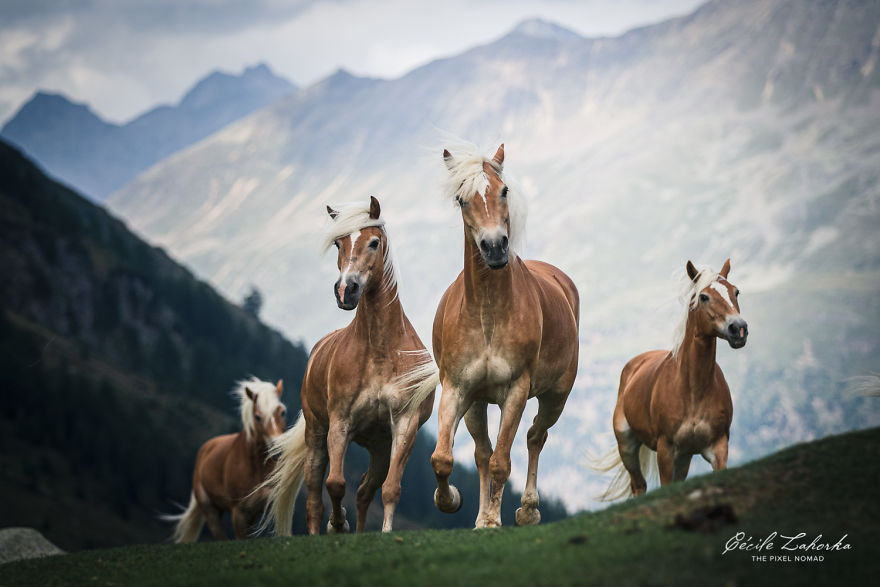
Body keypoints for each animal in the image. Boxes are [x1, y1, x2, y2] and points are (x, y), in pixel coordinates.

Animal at [162, 378, 287, 541]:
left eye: (282, 412)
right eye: (257, 417)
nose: (277, 445)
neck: (256, 468)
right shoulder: (239, 513)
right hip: (211, 511)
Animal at [262, 196, 438, 535]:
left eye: (374, 242)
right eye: (338, 243)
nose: (346, 290)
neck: (381, 352)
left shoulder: (404, 426)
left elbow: (390, 490)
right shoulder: (340, 424)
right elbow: (335, 483)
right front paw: (337, 522)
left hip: (380, 448)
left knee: (365, 492)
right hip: (316, 435)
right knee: (314, 500)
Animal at [411, 144, 580, 528]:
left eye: (504, 190)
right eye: (461, 199)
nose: (494, 246)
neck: (487, 315)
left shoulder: (516, 391)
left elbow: (503, 461)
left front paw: (493, 520)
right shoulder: (457, 389)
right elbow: (444, 457)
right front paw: (452, 501)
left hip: (556, 396)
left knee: (535, 436)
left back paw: (527, 510)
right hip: (477, 403)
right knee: (482, 452)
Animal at [594, 259, 748, 500]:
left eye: (736, 292)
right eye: (704, 297)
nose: (738, 329)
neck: (692, 390)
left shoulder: (718, 447)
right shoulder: (665, 450)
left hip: (684, 457)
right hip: (627, 445)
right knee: (639, 485)